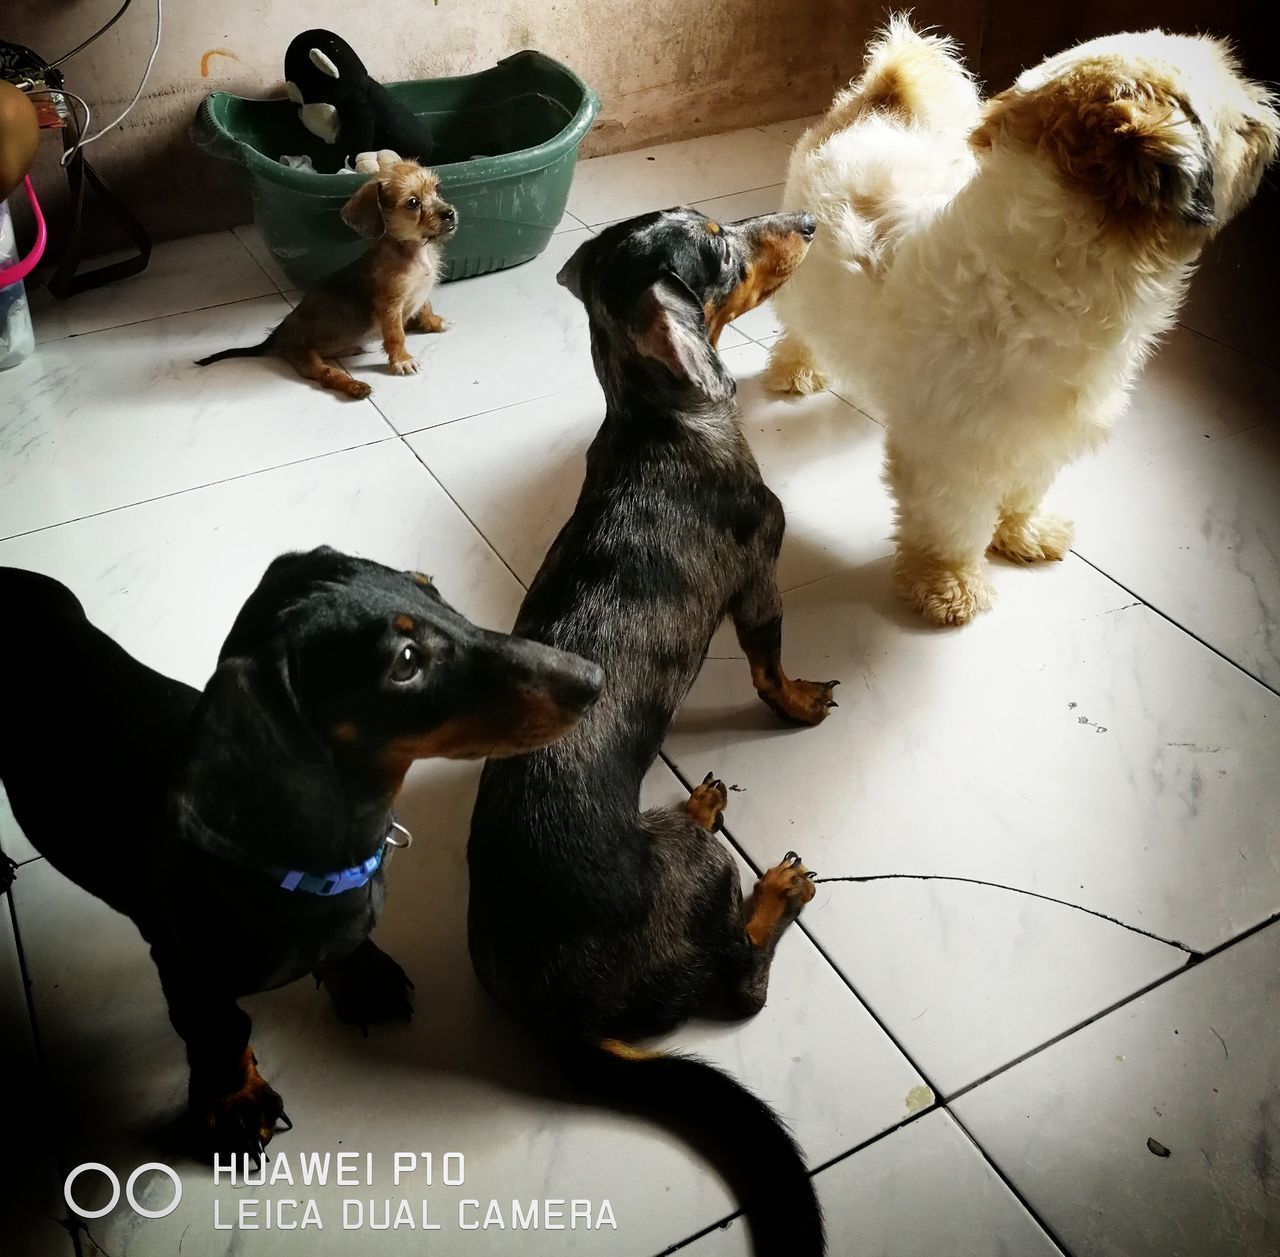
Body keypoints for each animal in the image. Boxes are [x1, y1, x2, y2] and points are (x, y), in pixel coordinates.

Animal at [197, 155, 458, 399]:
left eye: (437, 189)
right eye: (413, 203)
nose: (451, 214)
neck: (415, 251)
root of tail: (274, 338)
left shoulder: (420, 293)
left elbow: (425, 307)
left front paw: (434, 322)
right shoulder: (390, 307)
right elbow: (396, 336)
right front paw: (402, 359)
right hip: (306, 357)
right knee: (327, 374)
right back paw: (355, 386)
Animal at [762, 17, 1274, 627]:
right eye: (1240, 126)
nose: (1268, 114)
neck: (1049, 272)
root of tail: (878, 101)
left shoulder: (1036, 434)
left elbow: (1026, 488)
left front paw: (1022, 533)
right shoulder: (953, 456)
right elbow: (951, 527)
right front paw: (949, 586)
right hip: (806, 283)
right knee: (801, 328)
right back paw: (797, 369)